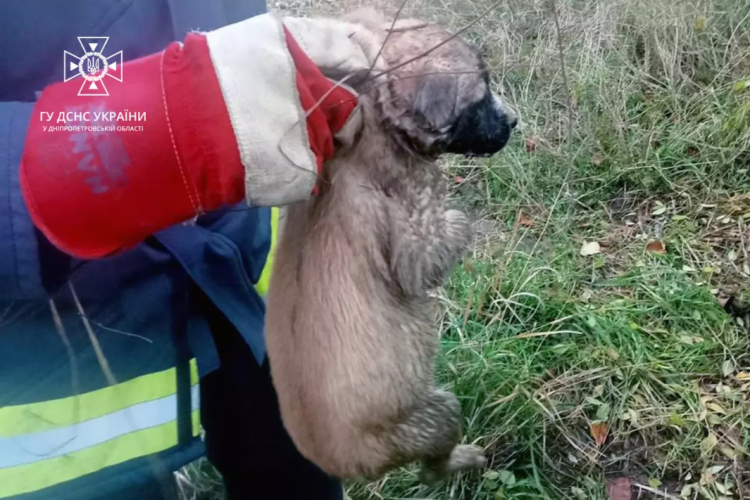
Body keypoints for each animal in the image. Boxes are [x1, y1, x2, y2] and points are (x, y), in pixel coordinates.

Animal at [264, 7, 516, 482]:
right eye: (480, 96)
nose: (514, 122)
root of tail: (341, 462)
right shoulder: (416, 235)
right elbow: (437, 245)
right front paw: (460, 221)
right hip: (436, 413)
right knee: (432, 467)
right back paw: (465, 460)